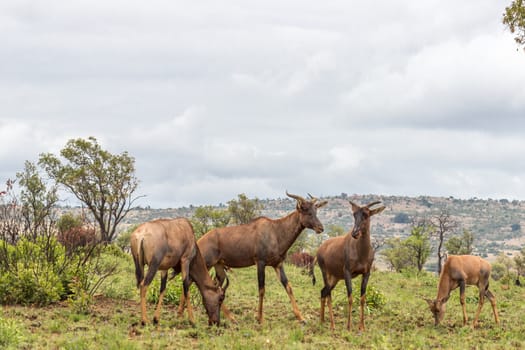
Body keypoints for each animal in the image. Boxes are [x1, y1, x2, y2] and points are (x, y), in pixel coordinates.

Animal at [188, 191, 328, 322]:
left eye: (315, 210)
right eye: (306, 211)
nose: (321, 228)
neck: (275, 230)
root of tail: (199, 240)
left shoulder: (278, 265)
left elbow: (288, 287)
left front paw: (301, 318)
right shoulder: (260, 263)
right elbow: (261, 289)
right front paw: (260, 318)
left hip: (219, 266)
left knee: (215, 287)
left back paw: (232, 318)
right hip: (205, 263)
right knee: (190, 283)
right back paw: (191, 318)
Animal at [314, 200, 382, 330]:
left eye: (366, 214)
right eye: (354, 214)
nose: (355, 233)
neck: (361, 251)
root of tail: (320, 248)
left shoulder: (366, 273)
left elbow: (362, 298)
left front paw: (362, 327)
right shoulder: (347, 272)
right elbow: (350, 297)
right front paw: (349, 326)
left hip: (335, 278)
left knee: (323, 291)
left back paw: (322, 321)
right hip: (325, 273)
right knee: (328, 295)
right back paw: (332, 325)